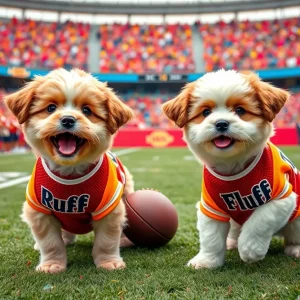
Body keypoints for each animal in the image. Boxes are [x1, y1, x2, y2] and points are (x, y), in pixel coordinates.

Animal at [4, 69, 135, 274]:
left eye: (87, 111)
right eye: (51, 108)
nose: (67, 119)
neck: (70, 171)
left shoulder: (110, 210)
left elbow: (106, 241)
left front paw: (108, 262)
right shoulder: (39, 210)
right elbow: (51, 243)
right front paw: (52, 264)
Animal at [163, 69, 300, 268]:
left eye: (240, 110)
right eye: (206, 112)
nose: (221, 123)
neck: (233, 168)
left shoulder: (283, 198)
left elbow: (260, 220)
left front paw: (250, 249)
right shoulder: (210, 206)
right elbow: (211, 236)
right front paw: (207, 260)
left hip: (296, 219)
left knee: (293, 235)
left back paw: (295, 249)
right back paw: (231, 243)